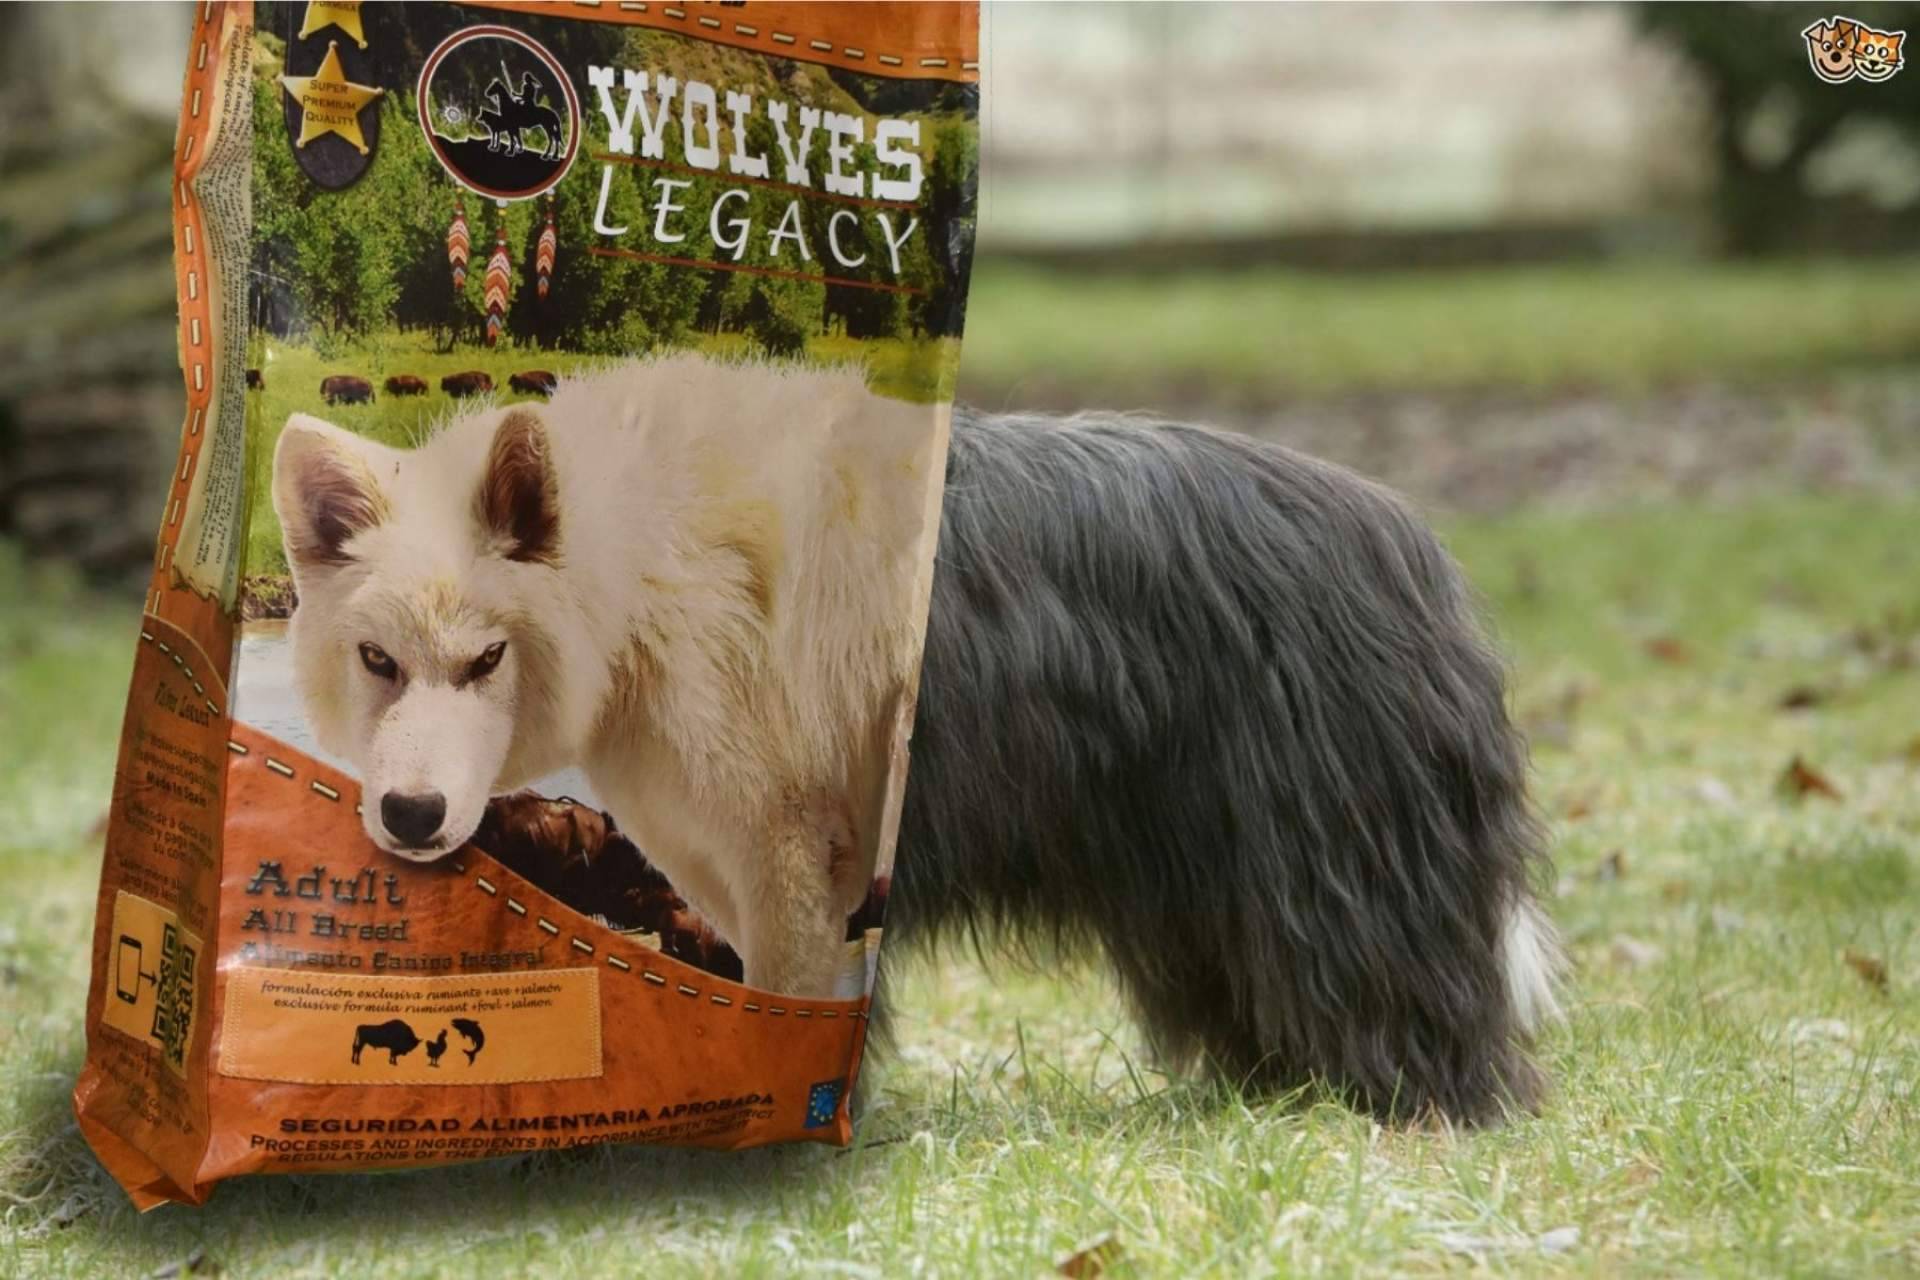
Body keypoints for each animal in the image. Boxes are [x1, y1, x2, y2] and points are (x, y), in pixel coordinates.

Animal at [274, 355, 1558, 1123]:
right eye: (375, 656)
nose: (410, 811)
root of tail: (1405, 542)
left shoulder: (796, 841)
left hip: (1332, 832)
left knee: (1388, 964)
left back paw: (1414, 1094)